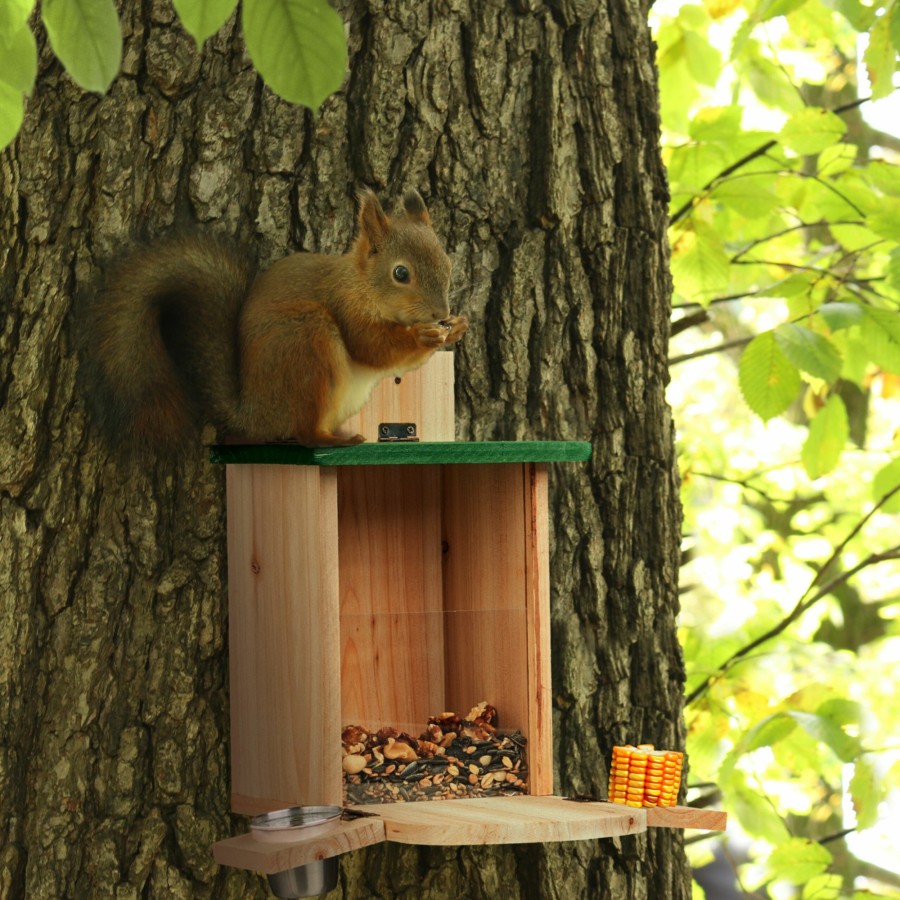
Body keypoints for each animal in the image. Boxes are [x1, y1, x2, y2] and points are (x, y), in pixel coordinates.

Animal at [85, 191, 468, 454]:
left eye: (448, 263)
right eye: (400, 273)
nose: (440, 314)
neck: (361, 284)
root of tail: (254, 414)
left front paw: (458, 327)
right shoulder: (346, 308)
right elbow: (373, 348)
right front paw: (423, 337)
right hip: (305, 343)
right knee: (304, 434)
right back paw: (334, 440)